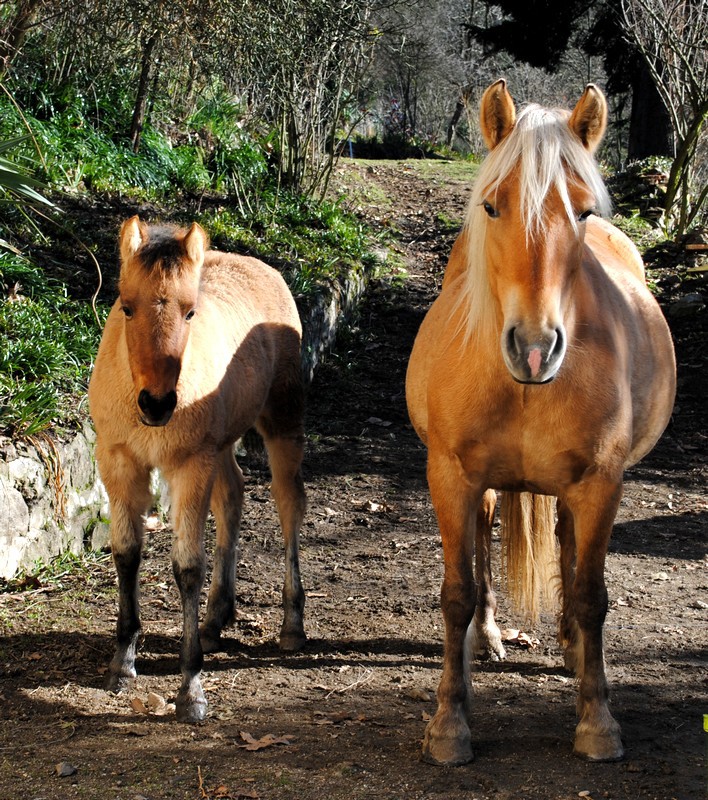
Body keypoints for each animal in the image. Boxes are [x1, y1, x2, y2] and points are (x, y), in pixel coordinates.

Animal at [89, 216, 306, 720]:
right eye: (126, 307)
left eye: (190, 313)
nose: (157, 403)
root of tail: (264, 267)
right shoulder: (118, 462)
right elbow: (126, 553)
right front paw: (122, 662)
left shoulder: (189, 467)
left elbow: (188, 566)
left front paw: (191, 690)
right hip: (222, 445)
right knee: (233, 496)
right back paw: (214, 618)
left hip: (281, 422)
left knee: (290, 503)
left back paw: (291, 623)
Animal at [404, 81, 676, 764]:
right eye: (492, 206)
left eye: (583, 211)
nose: (533, 349)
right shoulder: (450, 476)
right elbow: (456, 592)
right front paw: (449, 723)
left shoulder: (602, 482)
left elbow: (590, 594)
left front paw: (598, 721)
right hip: (481, 486)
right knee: (484, 540)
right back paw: (486, 637)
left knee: (567, 545)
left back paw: (573, 648)